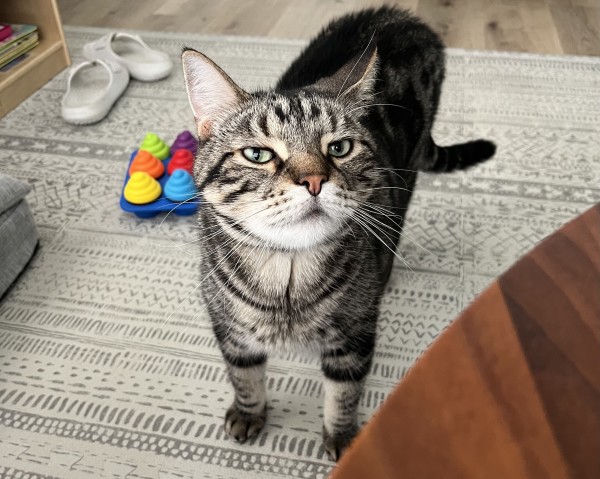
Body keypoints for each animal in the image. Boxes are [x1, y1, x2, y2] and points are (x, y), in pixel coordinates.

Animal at [180, 6, 494, 462]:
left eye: (340, 148)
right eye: (258, 154)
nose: (313, 180)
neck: (287, 275)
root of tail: (407, 17)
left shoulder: (355, 336)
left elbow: (344, 393)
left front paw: (344, 437)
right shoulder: (228, 328)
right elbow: (244, 376)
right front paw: (249, 412)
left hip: (405, 182)